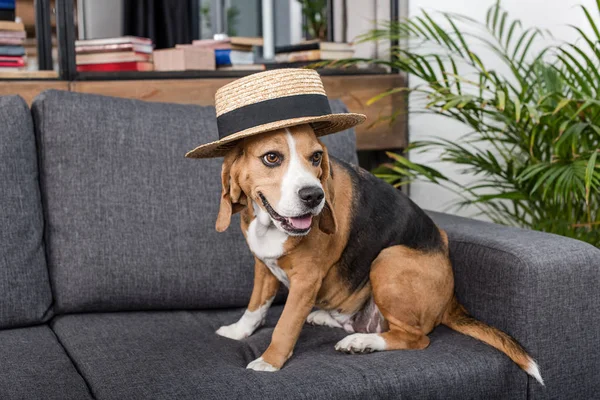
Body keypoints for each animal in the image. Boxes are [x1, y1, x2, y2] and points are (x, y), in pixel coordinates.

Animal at [216, 125, 544, 384]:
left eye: (316, 157)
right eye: (272, 157)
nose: (314, 196)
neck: (268, 224)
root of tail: (451, 301)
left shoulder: (306, 281)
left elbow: (284, 325)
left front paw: (269, 362)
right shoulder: (263, 265)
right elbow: (255, 307)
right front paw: (238, 331)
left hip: (389, 259)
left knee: (415, 337)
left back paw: (361, 341)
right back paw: (327, 319)